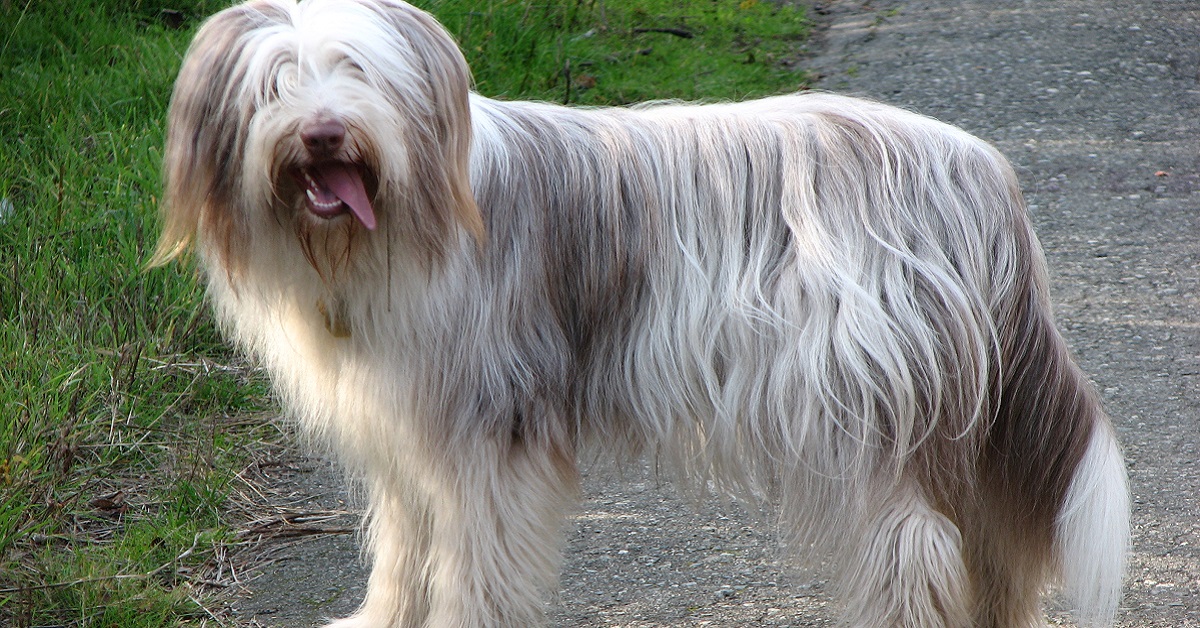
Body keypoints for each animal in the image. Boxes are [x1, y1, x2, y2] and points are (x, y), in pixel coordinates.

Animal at [147, 1, 1123, 624]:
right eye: (275, 83)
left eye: (358, 74)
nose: (323, 133)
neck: (383, 233)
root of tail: (982, 172)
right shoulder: (408, 428)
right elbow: (402, 549)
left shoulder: (489, 432)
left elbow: (473, 562)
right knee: (989, 546)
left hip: (861, 408)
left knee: (916, 550)